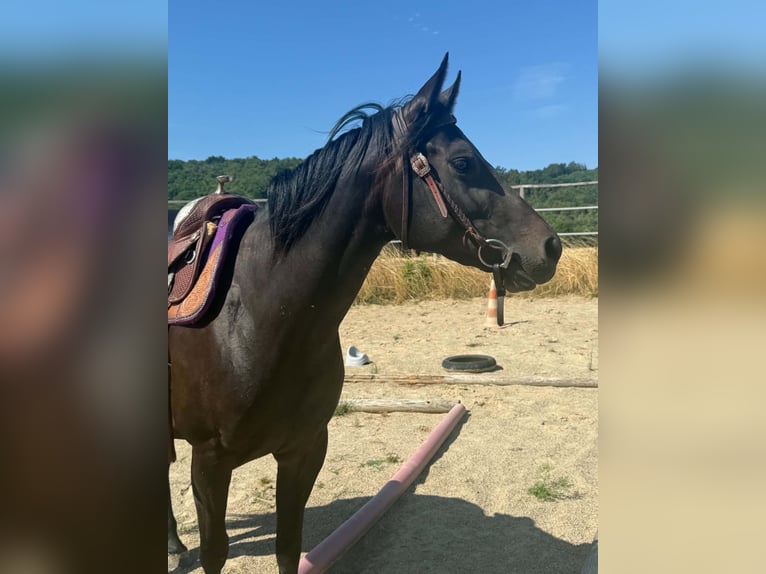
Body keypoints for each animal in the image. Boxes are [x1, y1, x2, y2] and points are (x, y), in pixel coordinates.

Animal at [168, 53, 562, 574]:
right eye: (463, 162)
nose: (551, 247)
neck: (257, 316)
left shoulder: (304, 451)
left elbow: (288, 547)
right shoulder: (209, 464)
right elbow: (215, 552)